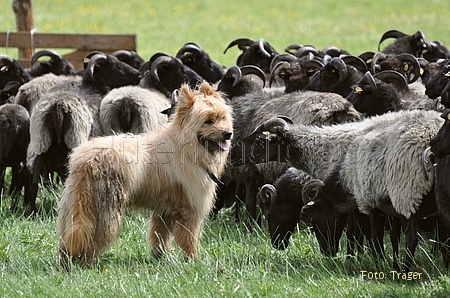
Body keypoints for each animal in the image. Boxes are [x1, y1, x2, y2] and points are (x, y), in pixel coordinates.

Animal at [57, 81, 232, 268]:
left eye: (223, 117)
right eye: (208, 121)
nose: (228, 134)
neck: (187, 147)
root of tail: (86, 161)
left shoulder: (164, 212)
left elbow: (160, 237)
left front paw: (160, 259)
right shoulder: (188, 211)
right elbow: (189, 240)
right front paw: (194, 262)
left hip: (75, 206)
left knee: (69, 238)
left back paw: (66, 263)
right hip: (105, 212)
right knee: (93, 241)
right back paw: (86, 265)